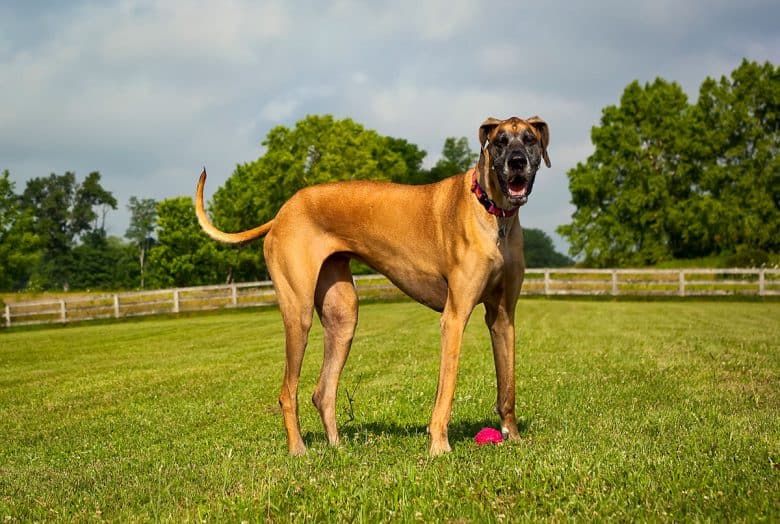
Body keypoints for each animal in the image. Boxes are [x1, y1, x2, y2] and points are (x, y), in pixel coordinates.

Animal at [194, 115, 548, 454]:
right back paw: (298, 450)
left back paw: (336, 447)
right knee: (287, 392)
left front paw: (514, 438)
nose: (517, 162)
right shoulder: (454, 317)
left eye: (529, 139)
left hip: (342, 315)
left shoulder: (503, 318)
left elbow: (507, 388)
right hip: (299, 314)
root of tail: (282, 213)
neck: (493, 213)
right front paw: (439, 446)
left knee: (322, 392)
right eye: (500, 142)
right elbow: (446, 389)